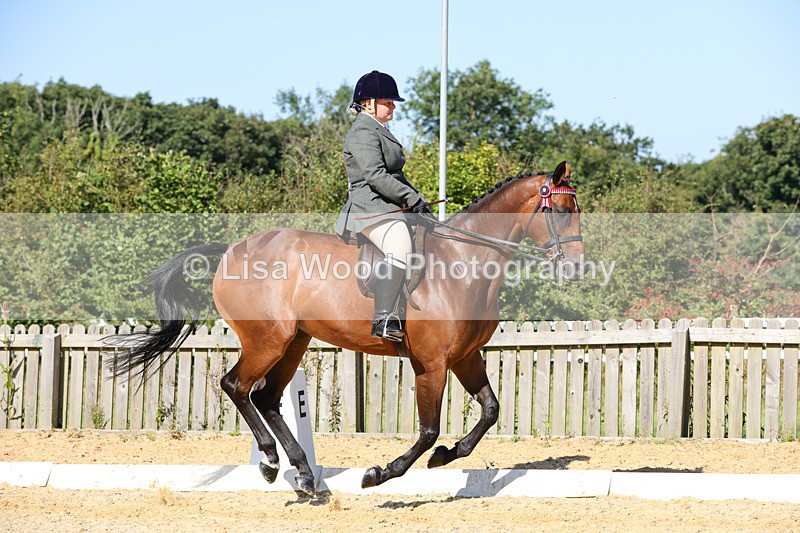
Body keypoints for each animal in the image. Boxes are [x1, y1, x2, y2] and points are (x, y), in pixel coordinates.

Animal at [112, 160, 584, 496]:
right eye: (562, 212)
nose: (577, 269)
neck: (463, 262)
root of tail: (234, 249)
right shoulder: (431, 363)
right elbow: (428, 430)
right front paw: (380, 473)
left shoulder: (465, 357)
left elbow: (490, 411)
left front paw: (448, 456)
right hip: (267, 340)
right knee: (236, 386)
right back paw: (270, 462)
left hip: (294, 342)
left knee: (265, 398)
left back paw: (304, 474)